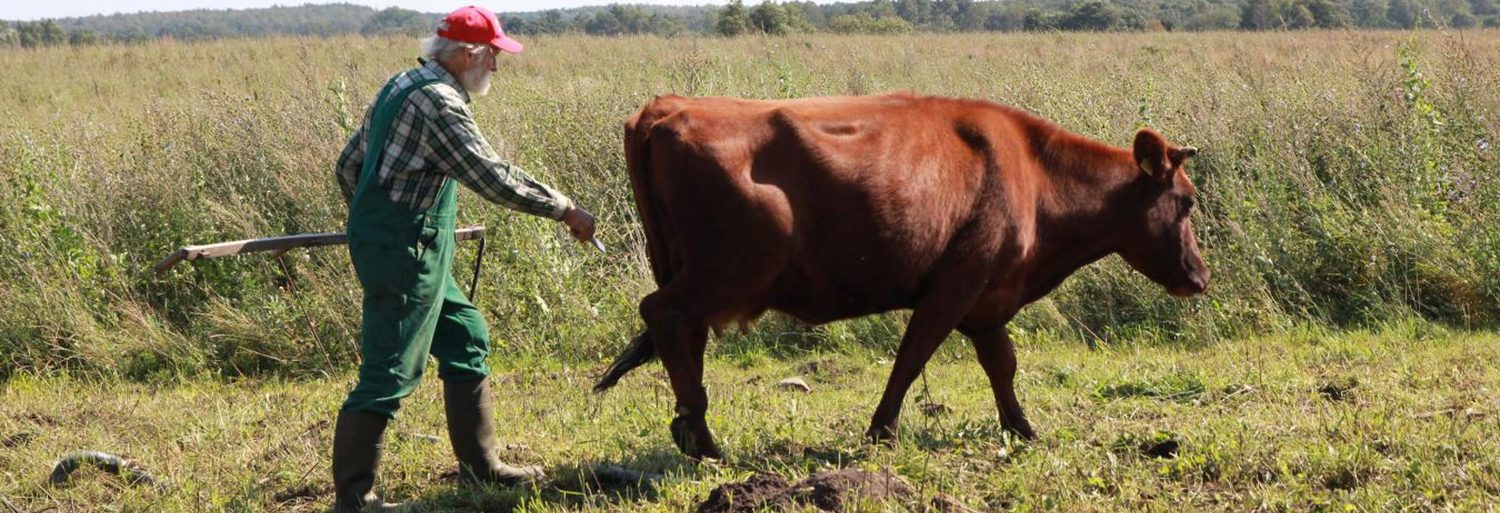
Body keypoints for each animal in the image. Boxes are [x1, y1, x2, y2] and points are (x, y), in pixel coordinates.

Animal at [594, 94, 1206, 459]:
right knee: (665, 313)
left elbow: (1001, 365)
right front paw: (881, 432)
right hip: (728, 270)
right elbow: (912, 358)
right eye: (1186, 202)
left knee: (683, 332)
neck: (1032, 172)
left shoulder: (987, 299)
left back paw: (691, 429)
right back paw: (702, 439)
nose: (1199, 277)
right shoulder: (956, 284)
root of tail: (667, 109)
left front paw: (1021, 429)